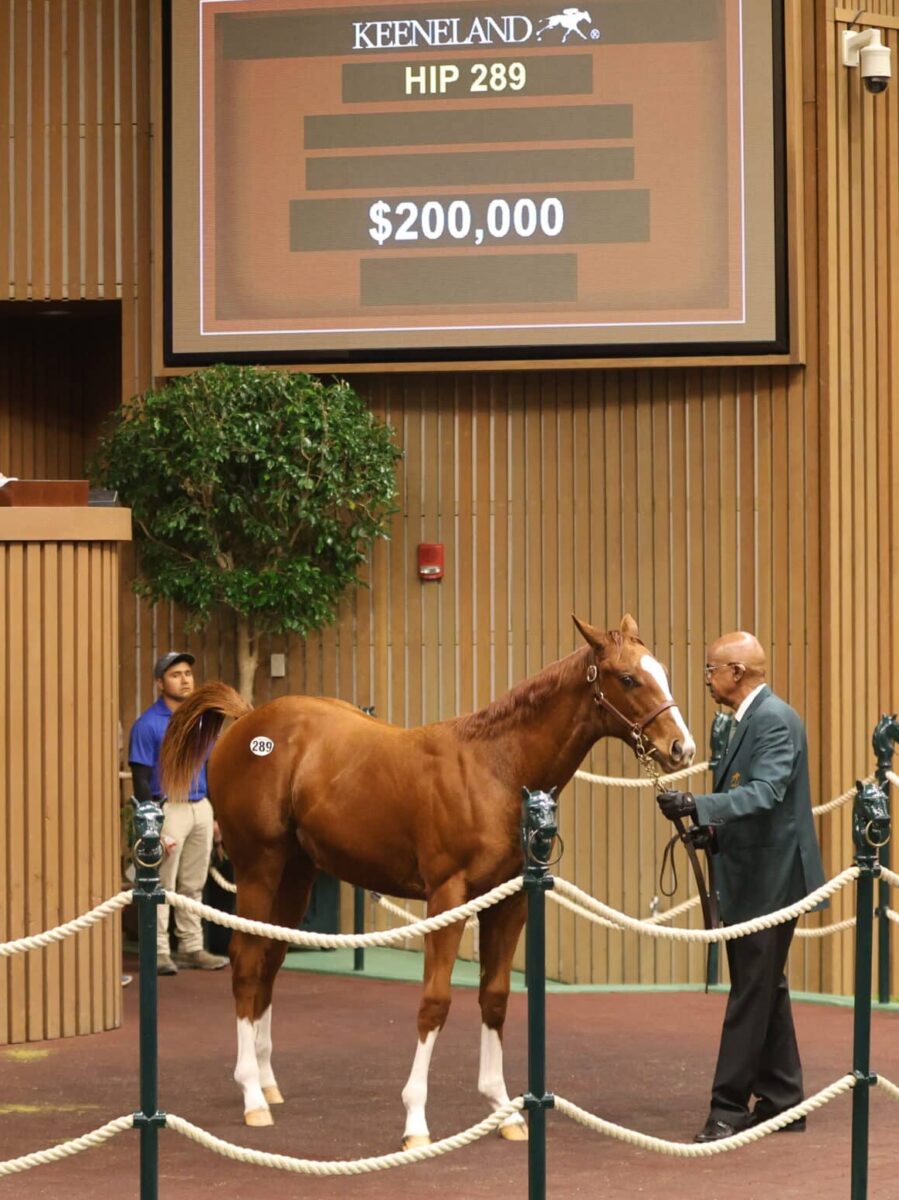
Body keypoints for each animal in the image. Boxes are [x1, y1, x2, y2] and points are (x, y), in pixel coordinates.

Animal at [160, 614, 696, 1147]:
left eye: (664, 672)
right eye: (628, 678)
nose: (681, 748)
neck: (495, 770)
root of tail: (249, 721)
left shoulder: (509, 902)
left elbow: (495, 998)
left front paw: (504, 1110)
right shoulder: (448, 898)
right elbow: (435, 1002)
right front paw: (415, 1122)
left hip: (296, 872)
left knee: (270, 961)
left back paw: (268, 1083)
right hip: (259, 867)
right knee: (247, 961)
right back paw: (251, 1093)